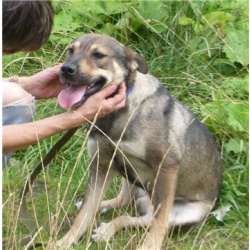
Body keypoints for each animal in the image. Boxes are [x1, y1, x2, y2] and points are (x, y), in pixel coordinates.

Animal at [55, 34, 222, 249]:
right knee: (124, 202)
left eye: (98, 55)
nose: (65, 70)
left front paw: (150, 246)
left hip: (181, 212)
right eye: (70, 50)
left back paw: (107, 230)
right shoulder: (101, 164)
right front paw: (65, 241)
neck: (119, 113)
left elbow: (159, 222)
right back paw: (104, 211)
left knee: (144, 219)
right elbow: (85, 211)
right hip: (128, 175)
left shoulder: (167, 166)